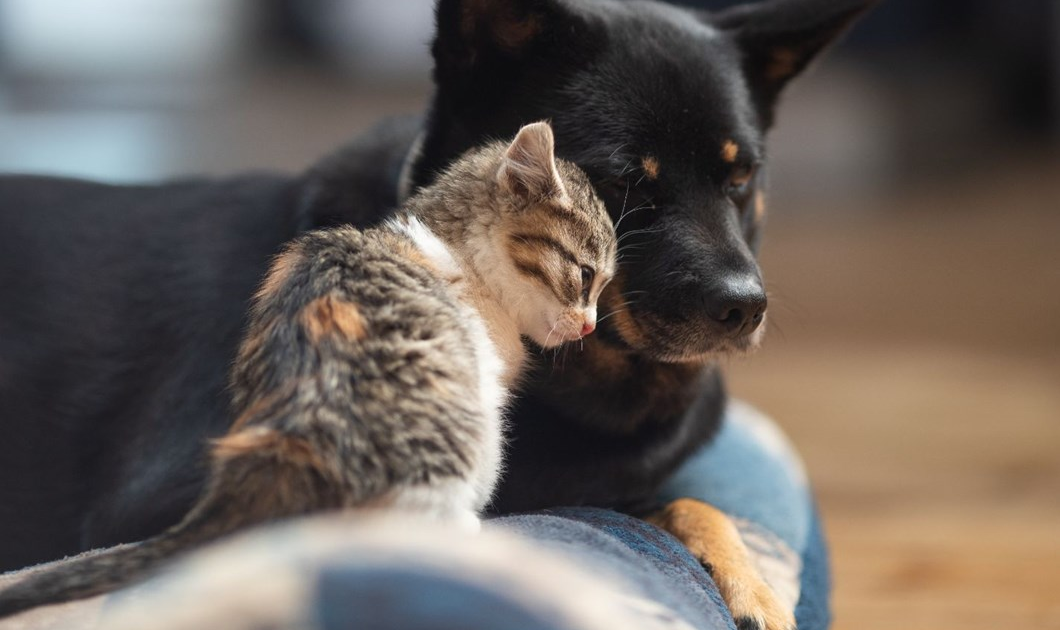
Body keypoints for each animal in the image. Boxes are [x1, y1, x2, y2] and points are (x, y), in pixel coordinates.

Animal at [0, 121, 619, 615]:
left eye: (603, 287)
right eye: (586, 275)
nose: (589, 327)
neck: (458, 250)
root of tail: (291, 439)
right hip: (466, 440)